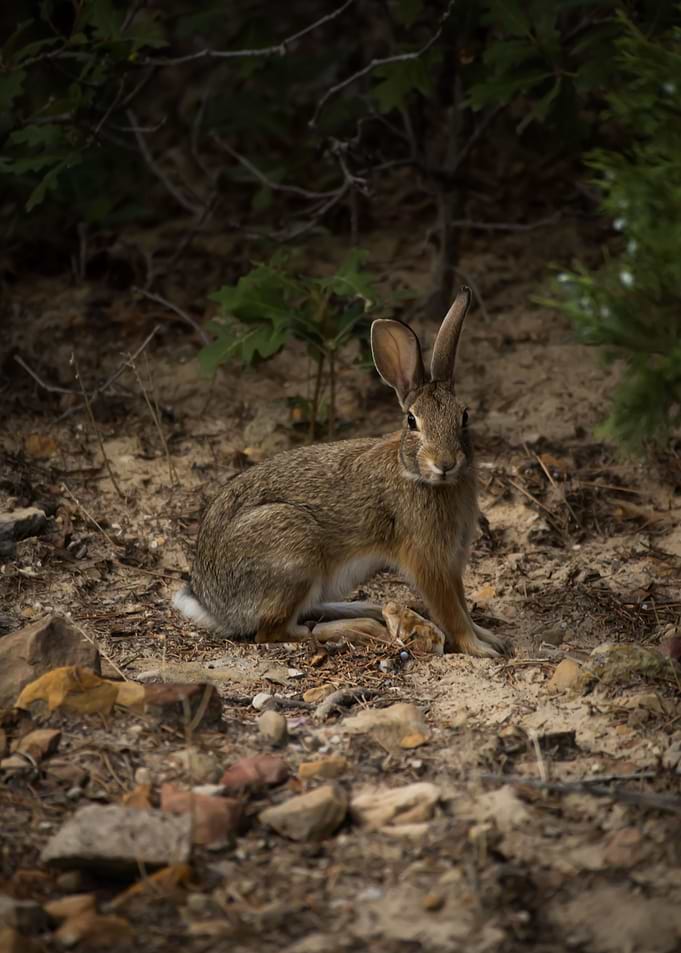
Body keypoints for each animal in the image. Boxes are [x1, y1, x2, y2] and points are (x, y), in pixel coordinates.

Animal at [173, 286, 510, 657]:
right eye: (411, 421)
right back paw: (361, 626)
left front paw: (490, 637)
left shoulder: (452, 562)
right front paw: (481, 649)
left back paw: (367, 609)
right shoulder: (429, 561)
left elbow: (462, 605)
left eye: (464, 415)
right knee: (276, 631)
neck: (420, 477)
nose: (446, 462)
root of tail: (212, 605)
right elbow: (452, 612)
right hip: (293, 551)